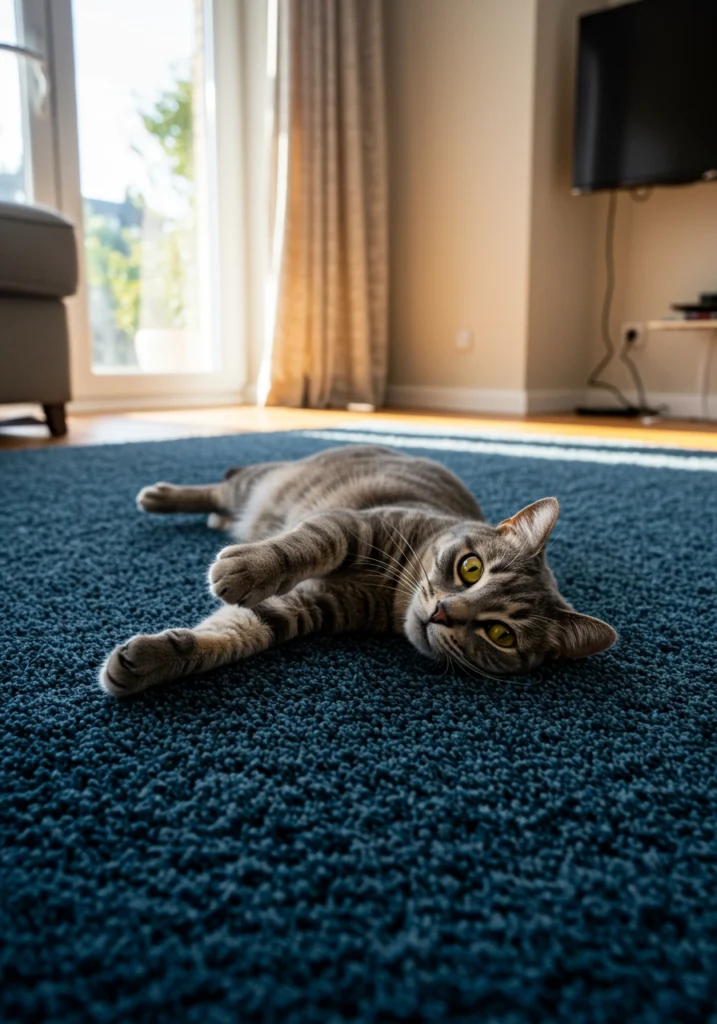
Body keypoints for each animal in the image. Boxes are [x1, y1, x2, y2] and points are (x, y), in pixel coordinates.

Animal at [99, 440, 614, 696]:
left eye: (501, 634)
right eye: (471, 569)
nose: (443, 612)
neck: (391, 596)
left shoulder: (306, 605)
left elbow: (234, 633)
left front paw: (149, 661)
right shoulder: (351, 525)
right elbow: (298, 548)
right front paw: (244, 567)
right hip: (260, 483)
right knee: (220, 485)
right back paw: (162, 495)